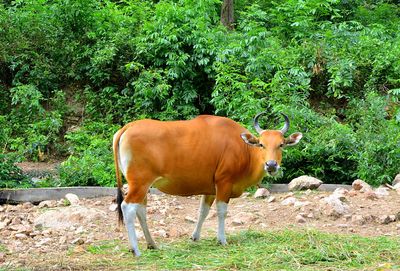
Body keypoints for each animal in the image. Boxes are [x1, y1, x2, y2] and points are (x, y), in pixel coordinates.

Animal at [111, 112, 302, 258]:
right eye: (261, 144)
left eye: (281, 144)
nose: (271, 165)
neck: (243, 150)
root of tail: (128, 127)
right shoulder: (224, 182)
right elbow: (222, 212)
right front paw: (222, 239)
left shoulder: (210, 189)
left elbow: (203, 211)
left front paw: (195, 237)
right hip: (140, 183)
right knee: (127, 207)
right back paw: (136, 250)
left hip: (143, 185)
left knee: (141, 210)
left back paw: (152, 244)